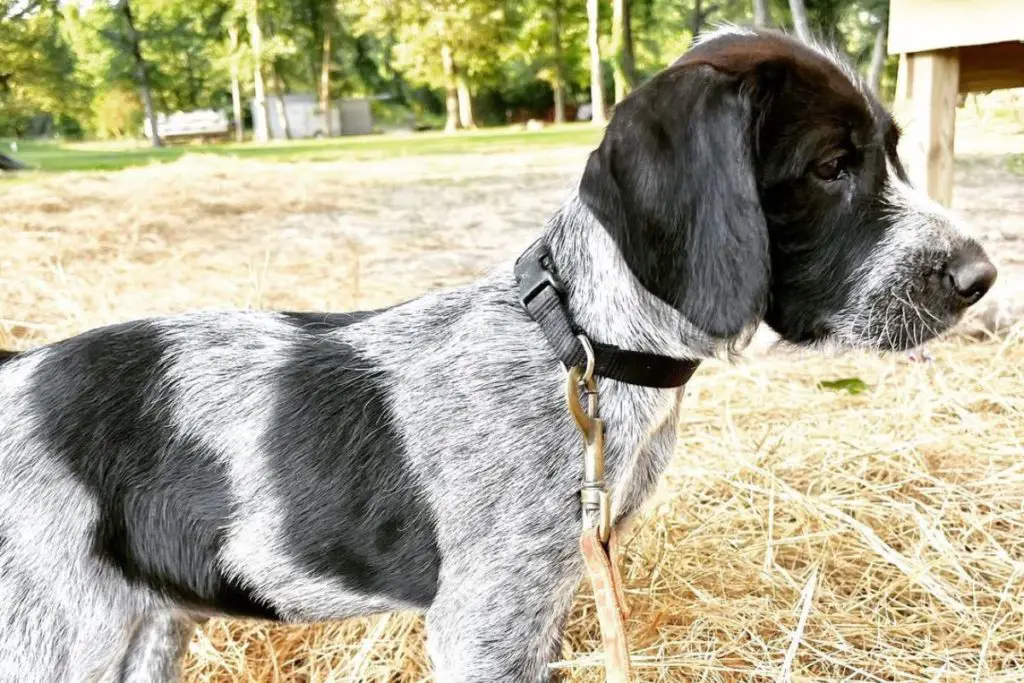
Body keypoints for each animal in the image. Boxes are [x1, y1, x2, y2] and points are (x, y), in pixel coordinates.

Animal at [0, 28, 995, 683]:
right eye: (831, 166)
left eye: (893, 151)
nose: (982, 276)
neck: (588, 341)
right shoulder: (486, 622)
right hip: (59, 639)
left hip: (144, 631)